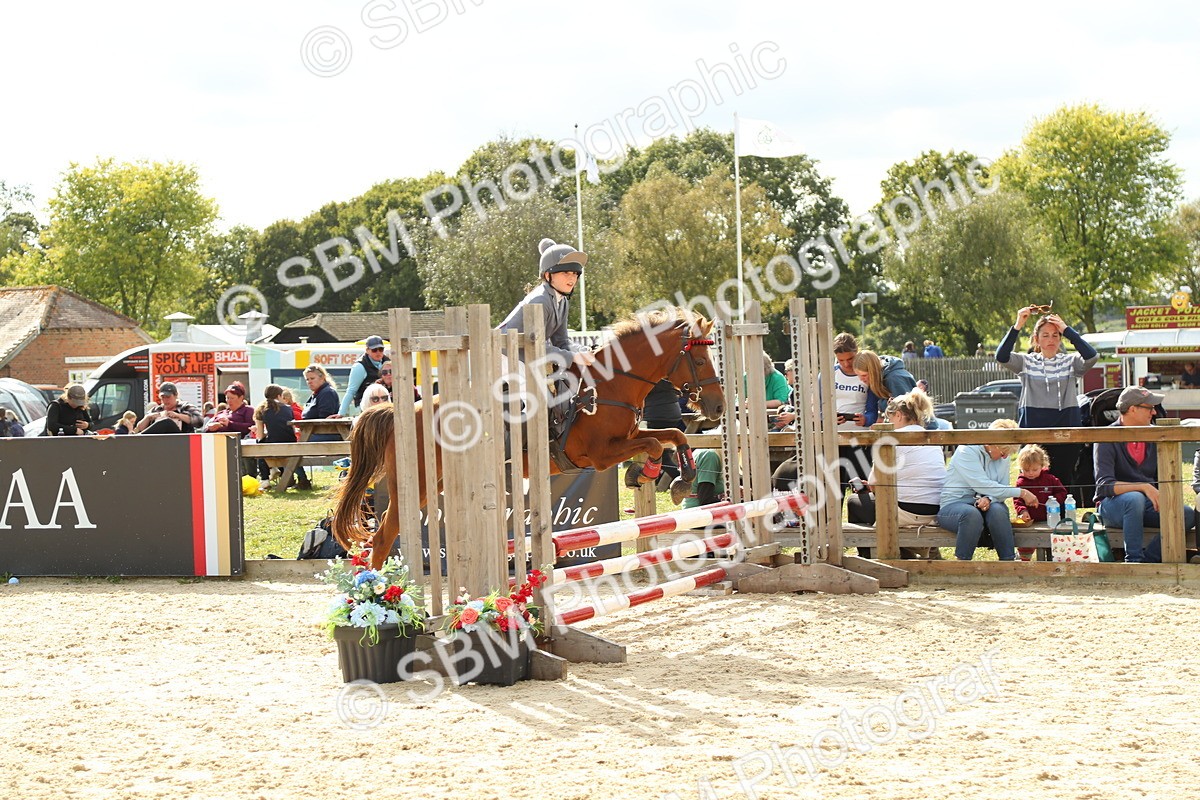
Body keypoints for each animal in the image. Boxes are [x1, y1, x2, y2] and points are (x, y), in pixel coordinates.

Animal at [332, 307, 725, 569]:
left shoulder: (629, 435)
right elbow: (656, 444)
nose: (718, 406)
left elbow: (674, 434)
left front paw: (678, 479)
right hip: (417, 484)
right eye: (699, 360)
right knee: (385, 536)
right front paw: (645, 473)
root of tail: (399, 412)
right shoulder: (600, 455)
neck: (612, 384)